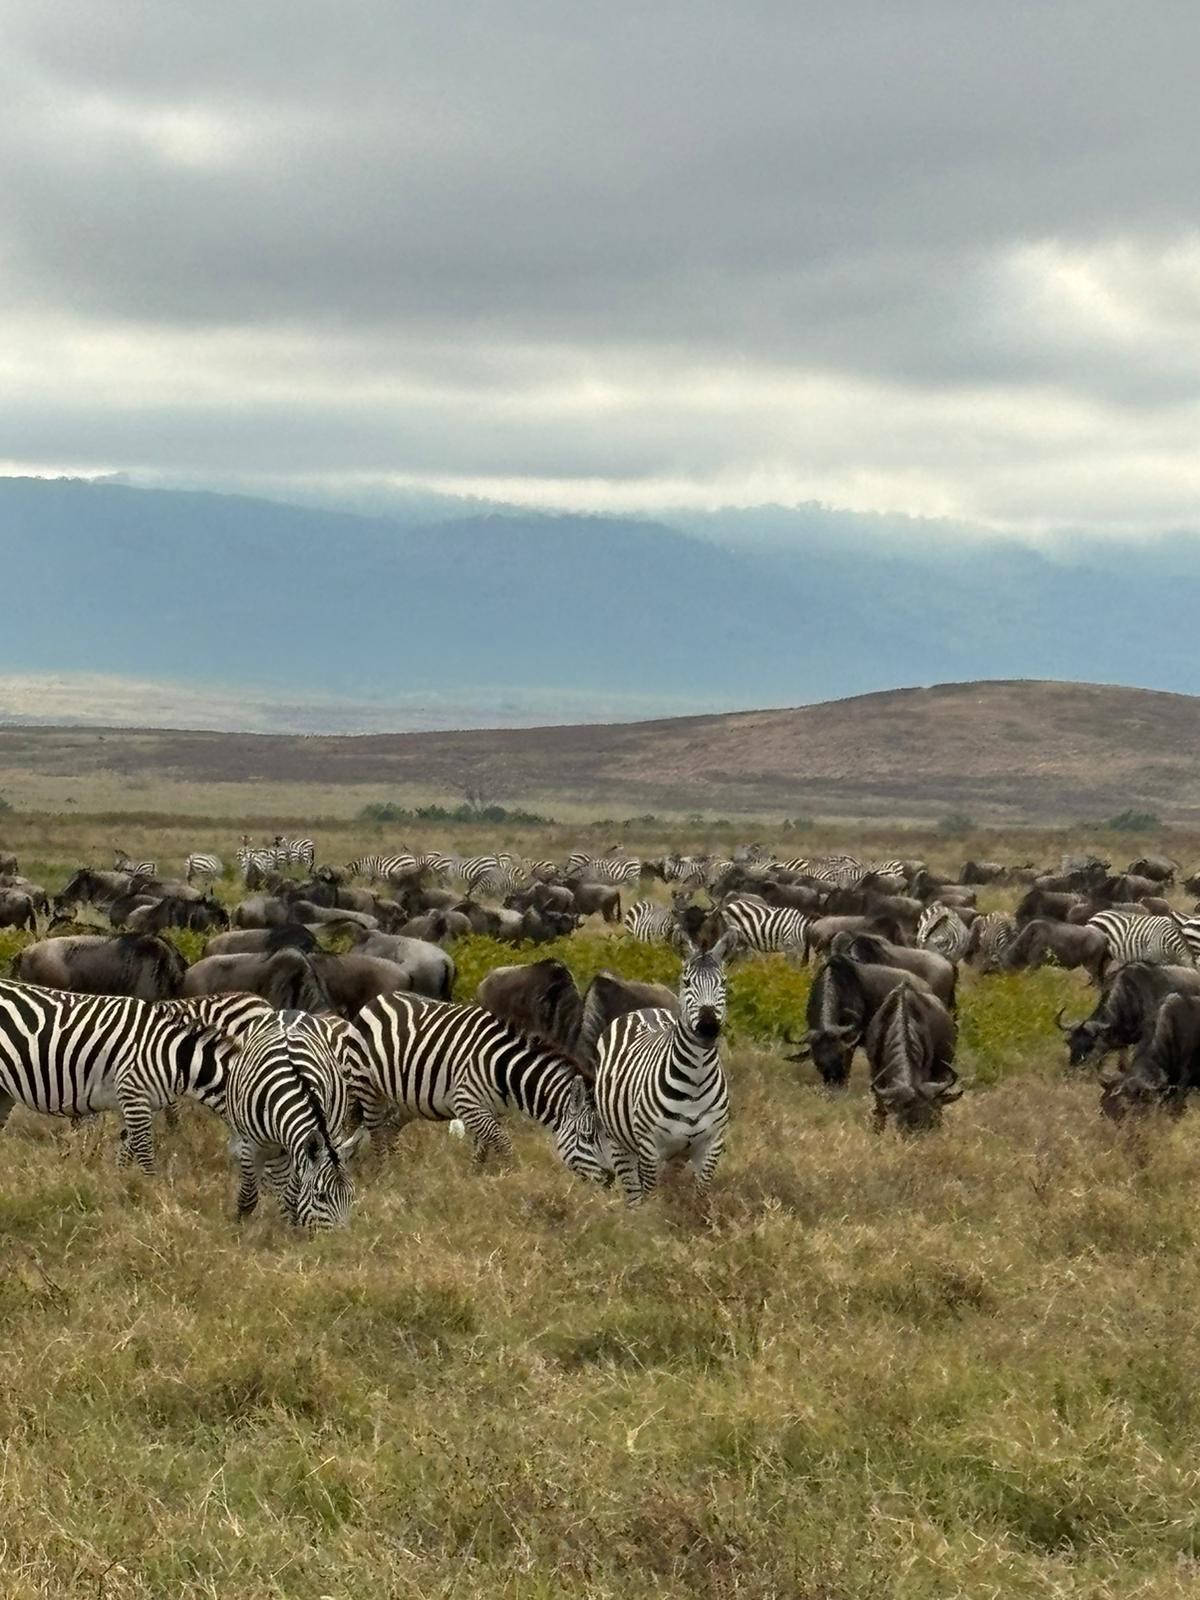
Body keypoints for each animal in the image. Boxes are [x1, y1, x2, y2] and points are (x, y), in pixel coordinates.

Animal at [0, 981, 239, 1171]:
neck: (173, 1054)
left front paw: (120, 1181)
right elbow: (144, 1152)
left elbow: (128, 1146)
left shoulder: (143, 1102)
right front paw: (146, 1190)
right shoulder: (133, 1094)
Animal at [221, 1012, 363, 1229]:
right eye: (321, 1196)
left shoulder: (298, 1149)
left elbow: (292, 1197)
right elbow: (248, 1196)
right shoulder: (251, 1145)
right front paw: (239, 1227)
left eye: (351, 1196)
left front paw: (291, 1228)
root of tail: (290, 1012)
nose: (342, 1237)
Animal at [342, 992, 607, 1181]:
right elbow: (503, 1142)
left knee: (389, 1128)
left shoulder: (492, 1110)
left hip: (406, 1098)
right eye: (587, 1137)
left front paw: (475, 1179)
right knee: (373, 1130)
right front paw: (515, 1176)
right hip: (366, 1087)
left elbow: (483, 1148)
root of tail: (376, 1000)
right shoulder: (467, 1102)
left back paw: (399, 1169)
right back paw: (383, 1173)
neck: (504, 1069)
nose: (609, 1180)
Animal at [593, 933, 735, 1207]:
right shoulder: (650, 1146)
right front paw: (654, 1218)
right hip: (619, 1142)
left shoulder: (711, 1145)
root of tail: (645, 1010)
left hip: (677, 1154)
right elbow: (650, 1197)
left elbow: (700, 1197)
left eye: (723, 982)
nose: (708, 1028)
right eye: (687, 982)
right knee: (634, 1193)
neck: (695, 1080)